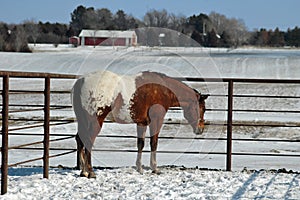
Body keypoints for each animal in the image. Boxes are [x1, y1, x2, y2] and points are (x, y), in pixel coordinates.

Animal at [72, 70, 207, 178]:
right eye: (203, 109)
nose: (200, 129)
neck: (162, 90)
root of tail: (81, 82)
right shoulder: (156, 121)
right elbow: (154, 143)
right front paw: (154, 168)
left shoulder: (142, 123)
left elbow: (140, 144)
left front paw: (139, 168)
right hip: (95, 122)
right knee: (89, 141)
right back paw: (90, 172)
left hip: (82, 121)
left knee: (80, 139)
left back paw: (83, 171)